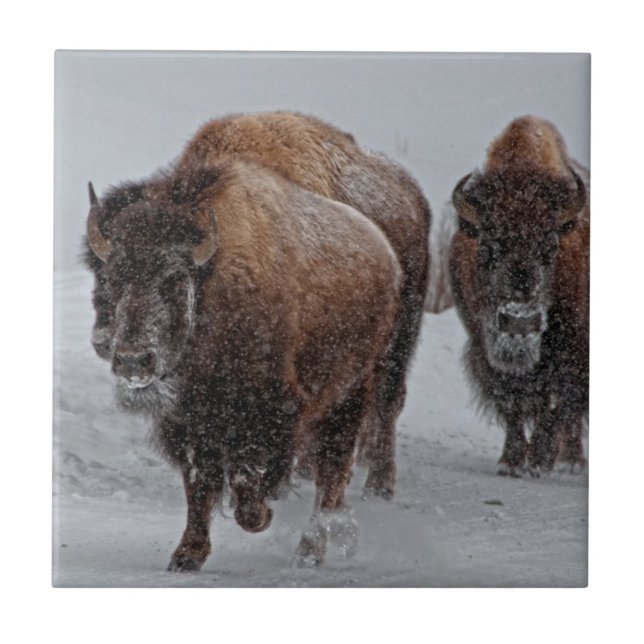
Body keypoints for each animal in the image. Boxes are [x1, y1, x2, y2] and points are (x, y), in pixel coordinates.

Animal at [85, 158, 401, 569]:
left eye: (175, 280)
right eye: (110, 278)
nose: (133, 360)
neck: (214, 284)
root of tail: (385, 254)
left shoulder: (270, 415)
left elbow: (248, 481)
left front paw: (261, 514)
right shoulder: (189, 425)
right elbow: (199, 486)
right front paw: (186, 557)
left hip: (348, 397)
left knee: (331, 476)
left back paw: (310, 552)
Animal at [449, 116, 589, 476]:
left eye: (550, 247)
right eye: (486, 247)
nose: (519, 323)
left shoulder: (573, 349)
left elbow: (557, 403)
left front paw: (538, 459)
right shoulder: (483, 345)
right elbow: (510, 400)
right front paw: (511, 462)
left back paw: (571, 460)